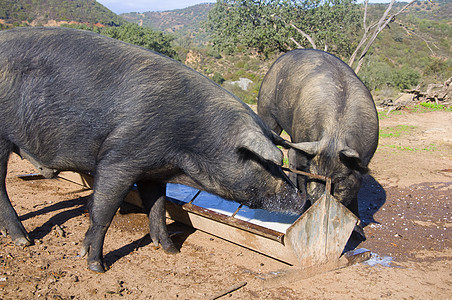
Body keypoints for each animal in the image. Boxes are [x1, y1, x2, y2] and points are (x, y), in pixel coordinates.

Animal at [0, 27, 306, 272]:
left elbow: (157, 206)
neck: (188, 147)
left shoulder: (153, 169)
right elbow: (103, 210)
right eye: (264, 161)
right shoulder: (119, 158)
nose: (302, 200)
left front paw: (171, 250)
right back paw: (24, 241)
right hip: (2, 140)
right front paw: (96, 265)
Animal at [258, 48, 378, 237]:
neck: (335, 135)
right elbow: (301, 170)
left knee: (291, 152)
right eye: (314, 174)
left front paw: (359, 231)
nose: (318, 199)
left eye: (339, 179)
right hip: (267, 108)